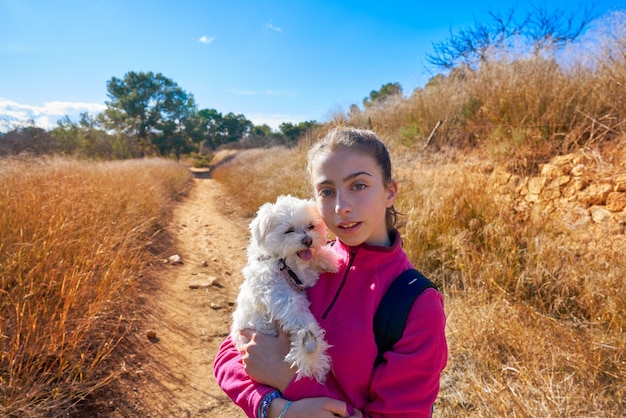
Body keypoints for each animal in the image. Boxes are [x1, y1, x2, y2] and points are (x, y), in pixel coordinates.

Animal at [229, 194, 336, 384]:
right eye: (289, 231)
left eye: (311, 226)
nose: (308, 240)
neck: (283, 263)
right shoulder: (278, 294)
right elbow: (296, 311)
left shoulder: (301, 278)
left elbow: (311, 265)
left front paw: (328, 259)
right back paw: (309, 344)